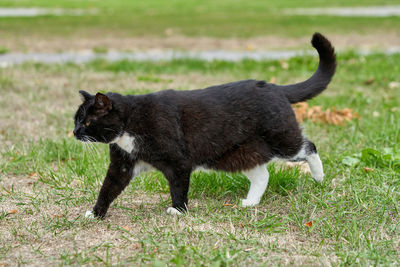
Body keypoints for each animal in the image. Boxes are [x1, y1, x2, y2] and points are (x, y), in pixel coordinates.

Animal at [74, 33, 334, 219]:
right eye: (76, 120)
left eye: (87, 121)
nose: (75, 132)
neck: (130, 122)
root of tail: (275, 87)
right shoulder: (122, 164)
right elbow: (108, 188)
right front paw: (95, 214)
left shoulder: (178, 161)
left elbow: (178, 186)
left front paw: (178, 210)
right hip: (238, 153)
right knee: (262, 174)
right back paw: (250, 202)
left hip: (281, 139)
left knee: (309, 146)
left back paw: (319, 176)